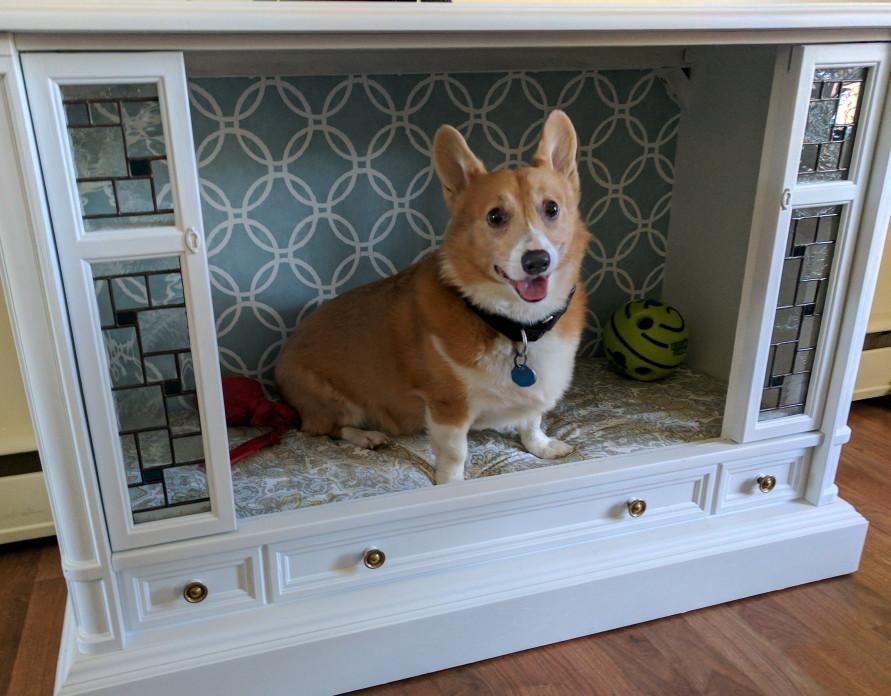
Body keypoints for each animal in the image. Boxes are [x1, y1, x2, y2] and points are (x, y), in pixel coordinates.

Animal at [272, 111, 592, 486]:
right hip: (332, 400)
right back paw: (367, 437)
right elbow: (455, 452)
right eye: (495, 216)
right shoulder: (447, 407)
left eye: (552, 208)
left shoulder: (529, 399)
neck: (517, 326)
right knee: (329, 429)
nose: (537, 261)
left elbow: (532, 423)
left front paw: (542, 447)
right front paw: (451, 485)